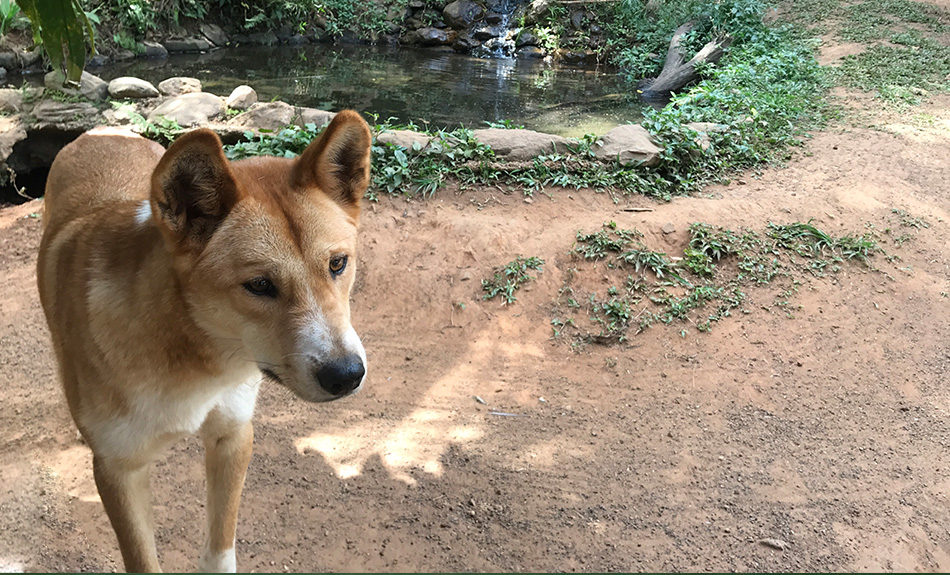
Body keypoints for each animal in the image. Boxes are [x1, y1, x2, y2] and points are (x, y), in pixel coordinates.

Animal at [37, 110, 374, 572]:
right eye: (259, 285)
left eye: (338, 264)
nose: (347, 375)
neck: (193, 359)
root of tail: (104, 129)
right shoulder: (118, 471)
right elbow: (143, 560)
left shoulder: (233, 435)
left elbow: (220, 550)